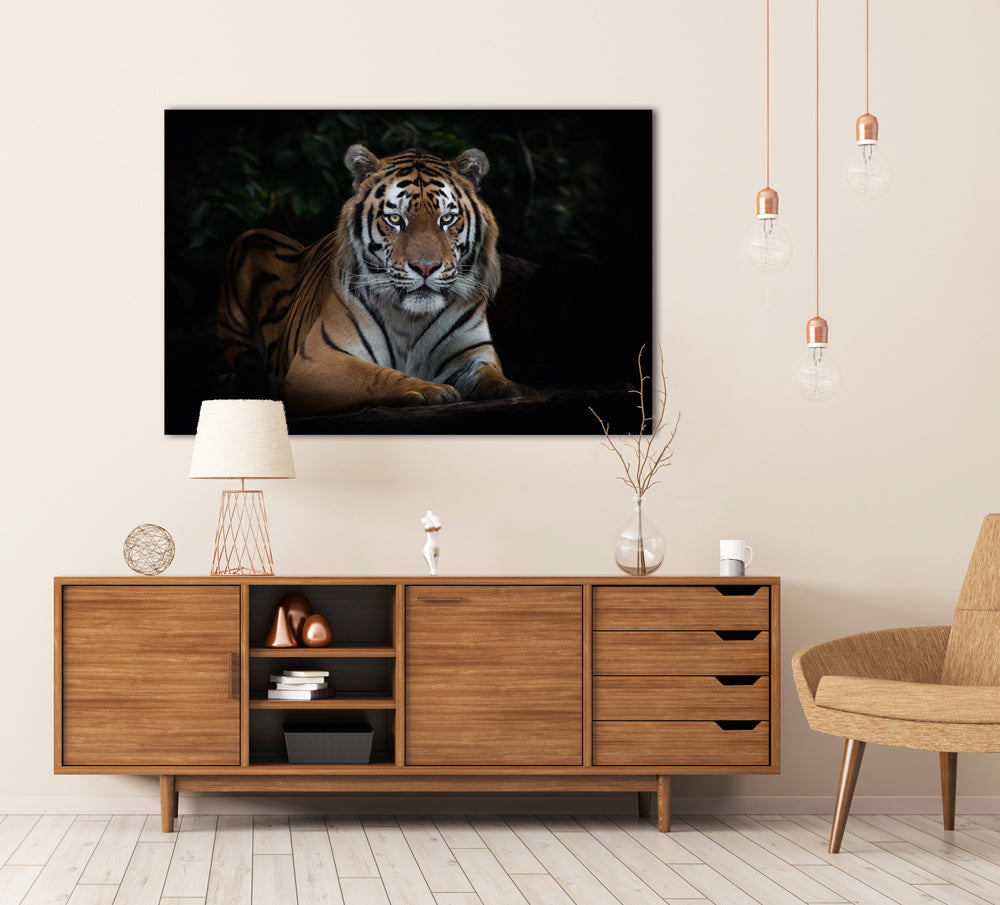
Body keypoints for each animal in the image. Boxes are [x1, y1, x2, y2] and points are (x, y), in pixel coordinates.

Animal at [217, 143, 526, 416]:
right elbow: (378, 376)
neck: (413, 319)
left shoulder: (474, 354)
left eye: (447, 219)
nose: (425, 267)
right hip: (250, 239)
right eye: (395, 219)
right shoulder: (318, 359)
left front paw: (511, 388)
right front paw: (430, 390)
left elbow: (491, 375)